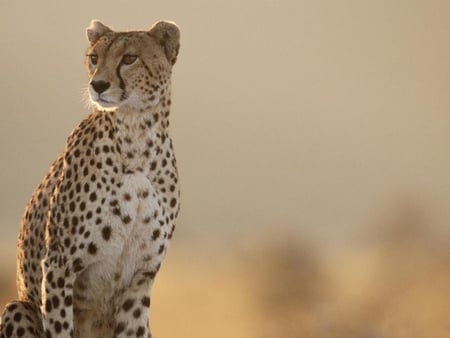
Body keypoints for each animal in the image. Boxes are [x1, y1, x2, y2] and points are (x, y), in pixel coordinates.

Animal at [2, 20, 181, 338]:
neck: (137, 140)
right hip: (16, 307)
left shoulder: (140, 279)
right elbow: (60, 325)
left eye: (129, 58)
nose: (98, 85)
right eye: (94, 58)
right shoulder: (59, 265)